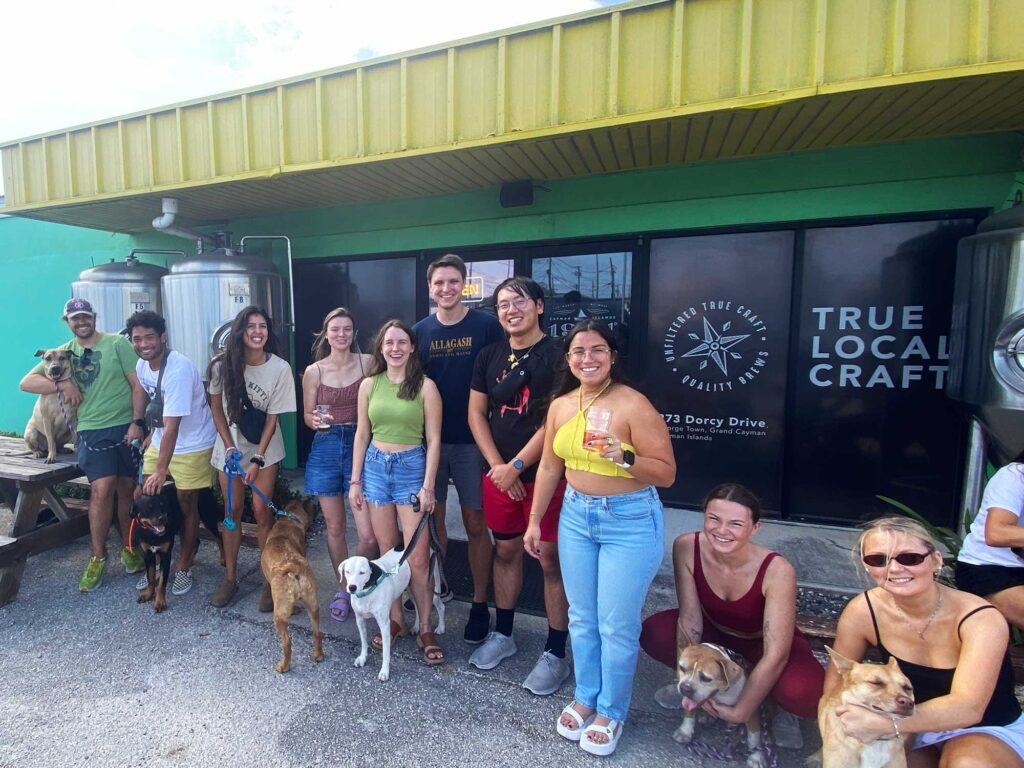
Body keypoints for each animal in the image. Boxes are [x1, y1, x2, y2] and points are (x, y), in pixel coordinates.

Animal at [258, 499, 321, 671]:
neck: (289, 520)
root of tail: (294, 568)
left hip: (279, 615)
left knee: (287, 643)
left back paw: (283, 666)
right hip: (313, 606)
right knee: (317, 632)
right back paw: (318, 655)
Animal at [339, 548, 411, 684]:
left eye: (362, 572)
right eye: (347, 571)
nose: (352, 587)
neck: (367, 593)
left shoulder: (384, 625)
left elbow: (386, 652)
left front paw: (384, 671)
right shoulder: (359, 620)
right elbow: (363, 641)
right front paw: (363, 658)